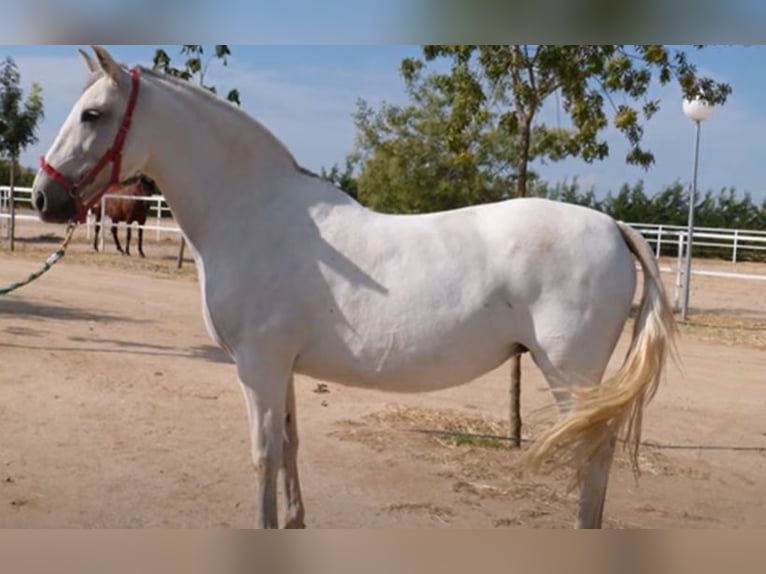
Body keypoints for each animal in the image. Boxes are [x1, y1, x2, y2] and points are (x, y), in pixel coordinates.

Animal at [31, 46, 680, 532]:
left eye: (92, 114)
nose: (44, 197)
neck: (254, 211)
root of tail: (612, 226)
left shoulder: (258, 366)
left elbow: (263, 455)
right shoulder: (283, 367)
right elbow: (289, 446)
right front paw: (295, 522)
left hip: (571, 375)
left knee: (593, 461)